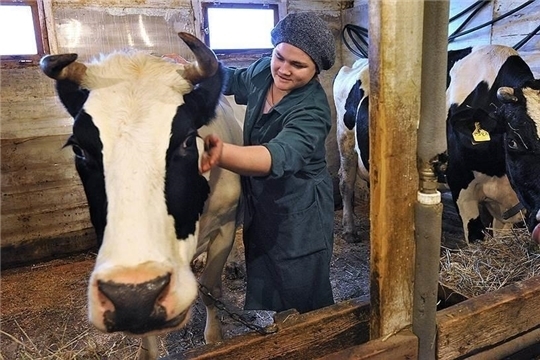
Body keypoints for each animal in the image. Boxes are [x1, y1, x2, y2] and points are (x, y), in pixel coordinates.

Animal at [41, 32, 243, 358]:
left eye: (188, 140)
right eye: (78, 148)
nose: (133, 297)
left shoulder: (224, 224)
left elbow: (212, 290)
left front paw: (214, 338)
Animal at [334, 43, 540, 243]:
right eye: (513, 142)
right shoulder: (461, 185)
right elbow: (476, 236)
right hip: (345, 140)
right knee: (346, 182)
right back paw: (350, 230)